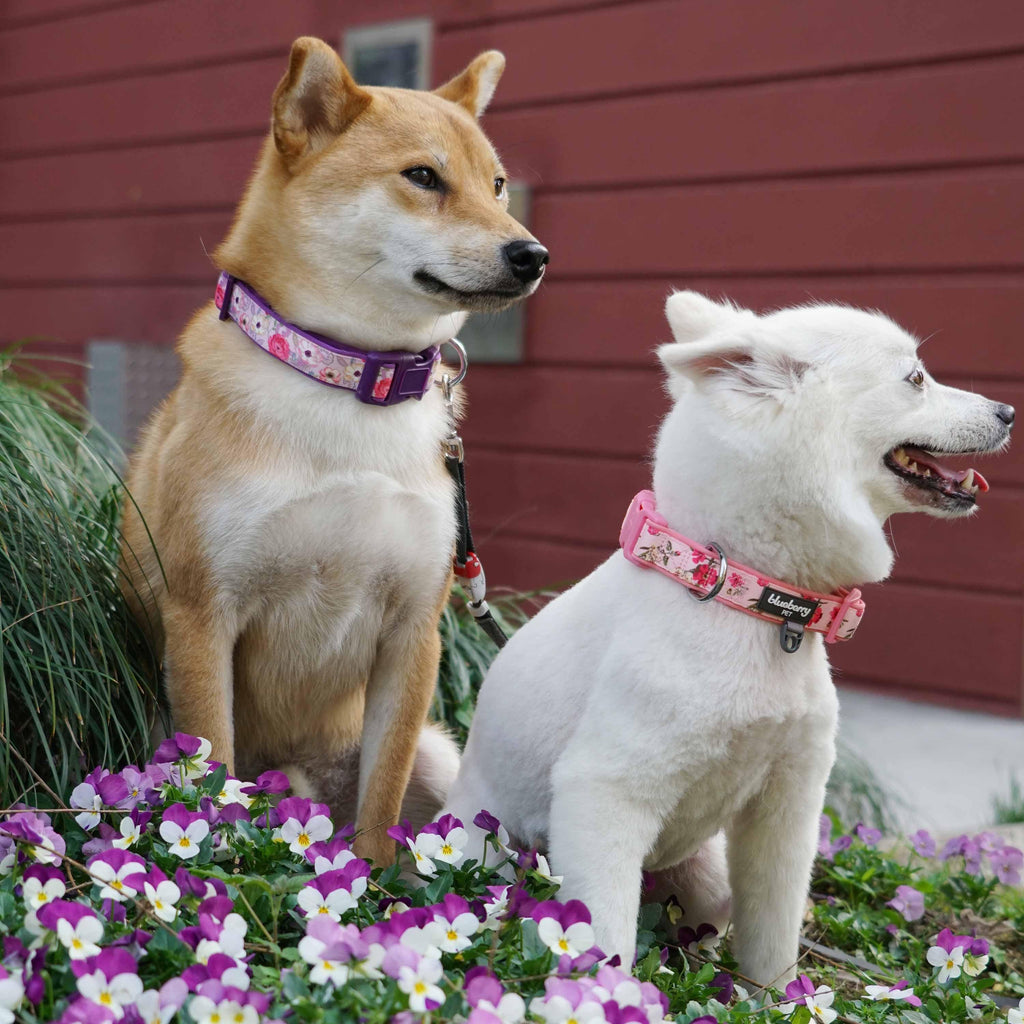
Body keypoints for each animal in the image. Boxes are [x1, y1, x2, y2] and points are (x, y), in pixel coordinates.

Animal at [119, 36, 544, 864]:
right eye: (423, 176)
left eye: (498, 185)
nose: (532, 254)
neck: (351, 379)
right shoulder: (202, 614)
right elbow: (212, 761)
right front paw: (219, 862)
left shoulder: (413, 630)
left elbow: (381, 801)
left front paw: (372, 878)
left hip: (441, 759)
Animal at [444, 292, 1011, 987]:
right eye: (916, 379)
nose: (1009, 412)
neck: (750, 598)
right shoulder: (604, 794)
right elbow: (607, 934)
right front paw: (613, 995)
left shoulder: (788, 806)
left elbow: (773, 937)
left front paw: (776, 998)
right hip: (489, 858)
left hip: (708, 880)